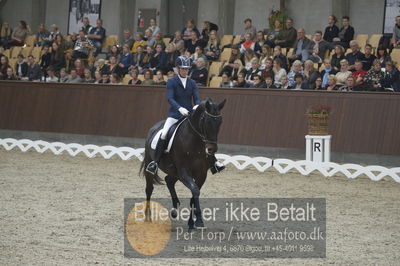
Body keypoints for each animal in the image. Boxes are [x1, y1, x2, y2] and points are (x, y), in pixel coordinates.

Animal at [139, 97, 225, 229]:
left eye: (220, 122)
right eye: (206, 121)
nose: (212, 149)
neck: (195, 143)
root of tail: (154, 127)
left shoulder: (201, 174)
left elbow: (194, 195)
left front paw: (192, 223)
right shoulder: (184, 172)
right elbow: (195, 190)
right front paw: (199, 220)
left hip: (175, 173)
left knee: (169, 181)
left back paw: (175, 210)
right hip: (153, 167)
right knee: (149, 189)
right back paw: (148, 218)